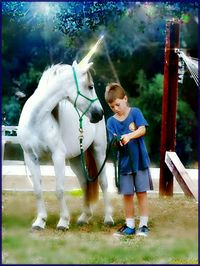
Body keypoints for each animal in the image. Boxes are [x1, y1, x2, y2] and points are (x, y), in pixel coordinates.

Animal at [16, 41, 114, 229]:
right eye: (90, 87)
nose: (99, 114)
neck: (36, 120)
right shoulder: (30, 157)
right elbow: (37, 190)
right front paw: (40, 221)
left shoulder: (58, 156)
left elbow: (59, 189)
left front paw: (63, 221)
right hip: (75, 158)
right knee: (84, 183)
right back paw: (84, 217)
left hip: (99, 150)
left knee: (103, 182)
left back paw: (108, 218)